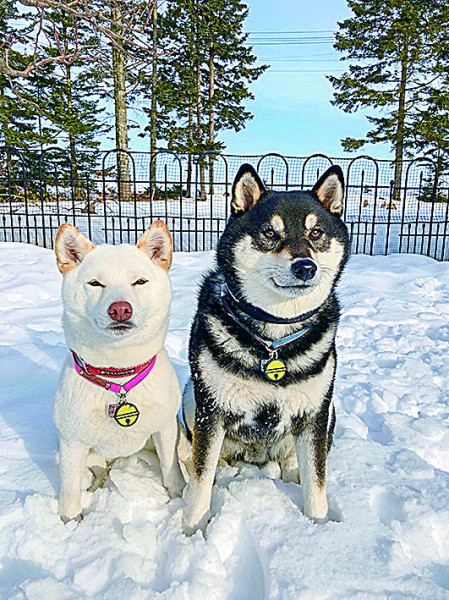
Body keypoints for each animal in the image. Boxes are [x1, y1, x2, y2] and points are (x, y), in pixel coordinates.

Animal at [53, 220, 184, 520]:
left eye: (139, 281)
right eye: (95, 283)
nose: (120, 309)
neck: (119, 376)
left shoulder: (165, 427)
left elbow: (171, 468)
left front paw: (178, 495)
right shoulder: (72, 442)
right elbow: (69, 490)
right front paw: (69, 520)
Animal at [180, 164, 348, 536]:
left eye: (316, 233)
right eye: (270, 233)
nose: (305, 267)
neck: (273, 340)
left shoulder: (315, 411)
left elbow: (317, 484)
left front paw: (319, 529)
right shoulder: (210, 410)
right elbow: (199, 482)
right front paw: (191, 531)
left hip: (327, 412)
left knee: (298, 459)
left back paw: (292, 472)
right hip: (190, 400)